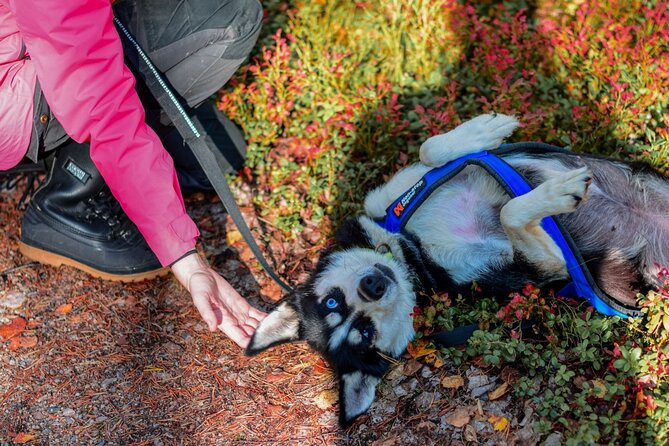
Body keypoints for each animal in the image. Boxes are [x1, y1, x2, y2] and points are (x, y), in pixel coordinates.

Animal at [247, 114, 668, 426]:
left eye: (332, 303)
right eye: (364, 333)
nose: (373, 286)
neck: (412, 251)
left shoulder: (395, 191)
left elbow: (430, 148)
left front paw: (486, 128)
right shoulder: (544, 267)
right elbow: (511, 212)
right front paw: (555, 195)